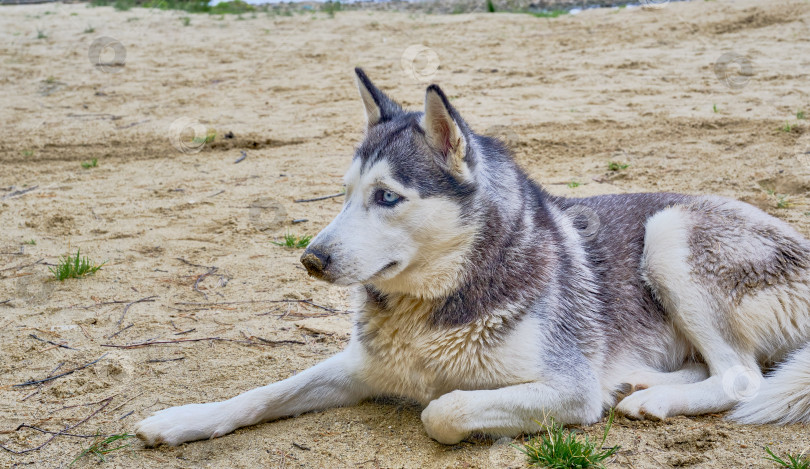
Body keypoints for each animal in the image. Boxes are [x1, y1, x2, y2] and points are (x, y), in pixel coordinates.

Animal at [136, 67, 808, 444]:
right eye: (346, 194)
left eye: (387, 197)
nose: (311, 259)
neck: (431, 307)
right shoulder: (359, 366)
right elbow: (262, 393)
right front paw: (181, 420)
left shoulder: (567, 391)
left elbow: (443, 409)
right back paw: (643, 379)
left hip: (667, 236)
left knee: (743, 377)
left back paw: (655, 397)